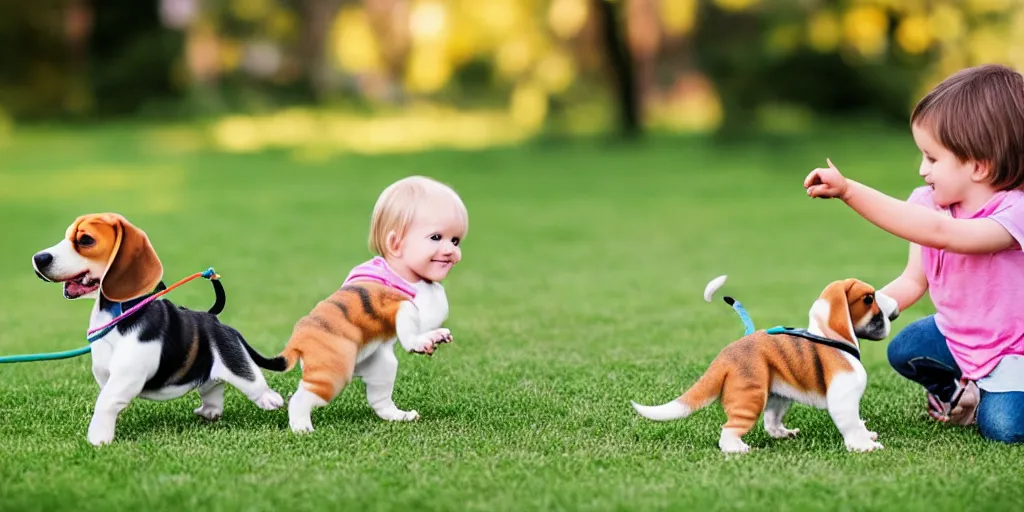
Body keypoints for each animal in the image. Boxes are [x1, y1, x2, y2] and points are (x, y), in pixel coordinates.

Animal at [30, 214, 284, 446]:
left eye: (85, 240)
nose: (38, 258)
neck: (116, 313)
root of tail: (217, 322)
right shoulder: (105, 375)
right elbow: (106, 401)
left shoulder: (127, 376)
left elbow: (105, 402)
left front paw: (97, 440)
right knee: (213, 386)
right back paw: (209, 412)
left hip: (237, 366)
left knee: (254, 384)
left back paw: (274, 401)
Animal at [626, 280, 901, 452]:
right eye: (868, 299)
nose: (896, 310)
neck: (832, 337)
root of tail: (726, 355)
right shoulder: (843, 400)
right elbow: (851, 424)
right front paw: (864, 447)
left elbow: (858, 423)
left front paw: (867, 436)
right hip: (750, 397)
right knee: (729, 429)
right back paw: (737, 449)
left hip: (778, 396)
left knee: (771, 423)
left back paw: (783, 433)